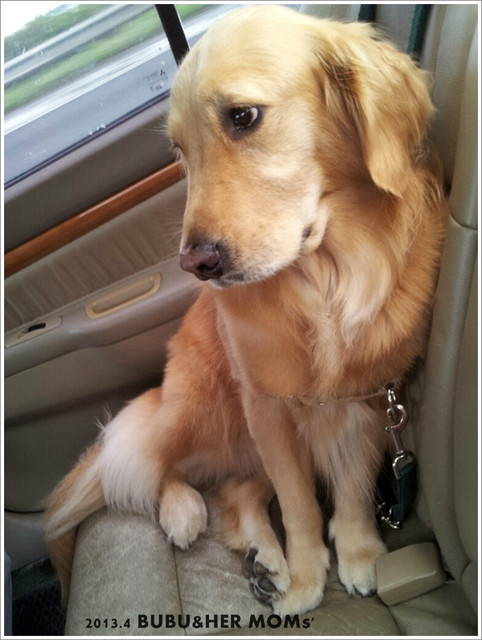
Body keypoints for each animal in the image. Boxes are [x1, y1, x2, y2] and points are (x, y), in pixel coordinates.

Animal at [46, 5, 447, 616]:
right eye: (180, 151)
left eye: (243, 116)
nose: (195, 263)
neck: (325, 281)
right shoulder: (268, 408)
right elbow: (300, 505)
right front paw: (305, 579)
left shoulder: (368, 400)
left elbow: (352, 488)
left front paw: (358, 553)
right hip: (205, 407)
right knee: (150, 459)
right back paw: (185, 512)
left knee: (234, 488)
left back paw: (263, 556)